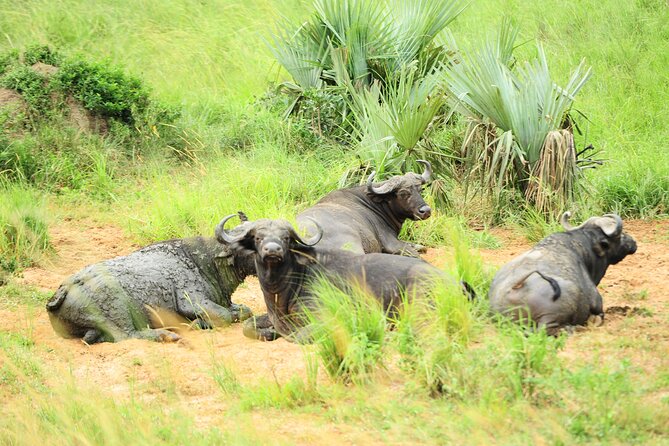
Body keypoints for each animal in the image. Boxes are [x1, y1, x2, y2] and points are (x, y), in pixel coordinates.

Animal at [46, 215, 255, 344]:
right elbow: (224, 315)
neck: (203, 262)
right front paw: (197, 324)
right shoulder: (192, 301)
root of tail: (65, 288)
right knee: (126, 336)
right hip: (117, 309)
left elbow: (245, 310)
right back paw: (165, 335)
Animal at [216, 214, 463, 343]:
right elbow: (248, 326)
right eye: (258, 237)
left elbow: (298, 336)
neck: (280, 289)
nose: (273, 250)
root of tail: (456, 283)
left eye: (286, 238)